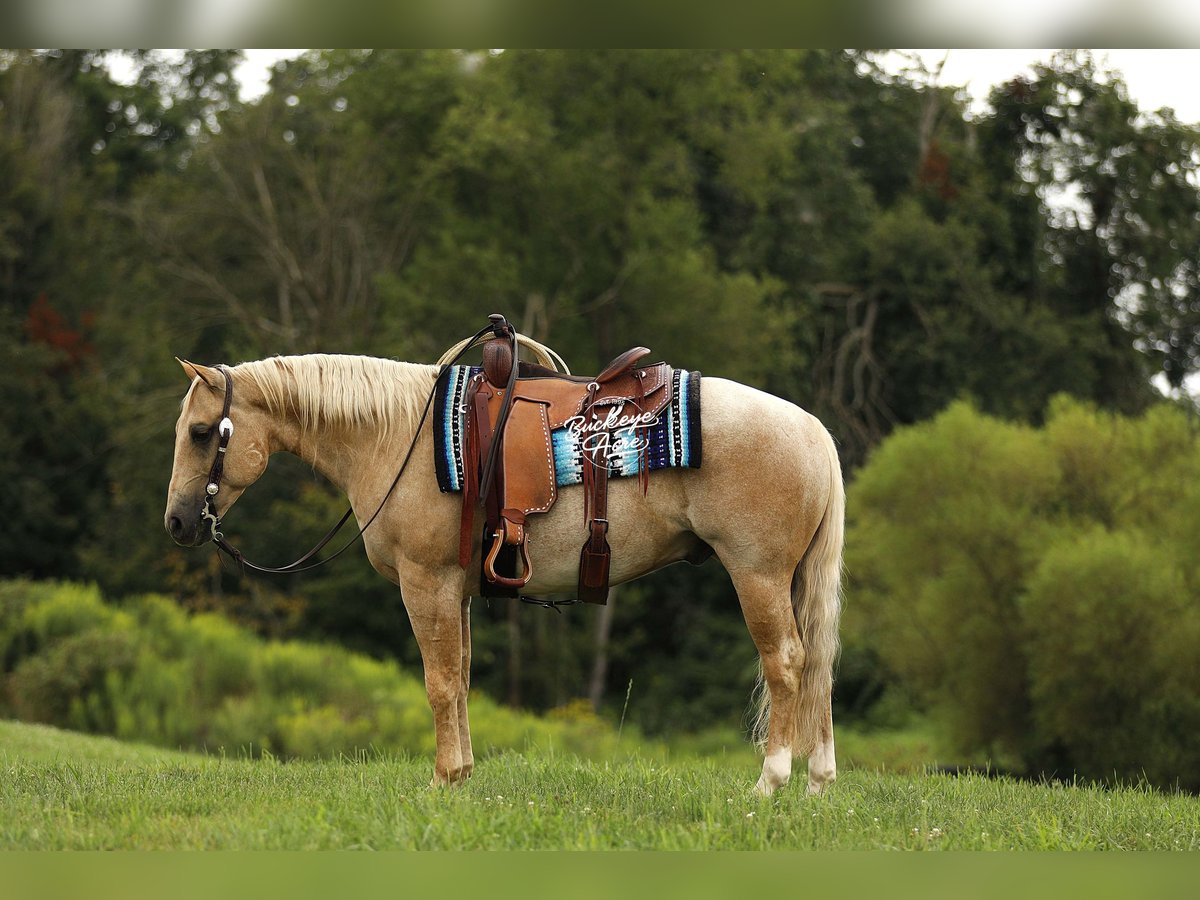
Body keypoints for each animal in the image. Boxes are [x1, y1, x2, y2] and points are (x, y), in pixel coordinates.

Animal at [163, 341, 844, 796]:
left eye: (200, 432)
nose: (177, 523)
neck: (395, 437)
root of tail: (813, 428)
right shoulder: (456, 589)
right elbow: (461, 677)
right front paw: (462, 775)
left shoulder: (426, 582)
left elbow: (439, 683)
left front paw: (442, 780)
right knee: (816, 663)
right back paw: (817, 780)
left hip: (757, 574)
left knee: (786, 663)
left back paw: (771, 783)